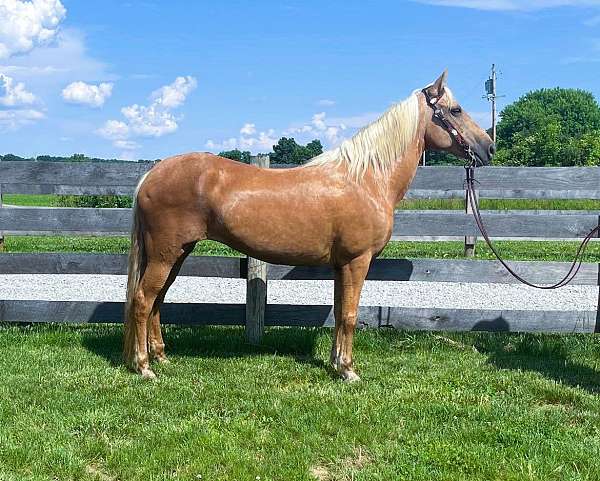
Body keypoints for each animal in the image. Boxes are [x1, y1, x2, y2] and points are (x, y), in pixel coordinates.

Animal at [124, 71, 494, 378]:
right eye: (456, 110)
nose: (488, 148)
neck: (365, 179)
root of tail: (152, 174)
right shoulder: (357, 261)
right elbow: (349, 315)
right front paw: (348, 370)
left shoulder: (341, 265)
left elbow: (339, 311)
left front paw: (336, 362)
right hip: (166, 253)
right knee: (143, 300)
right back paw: (144, 367)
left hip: (177, 253)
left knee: (157, 301)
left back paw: (161, 357)